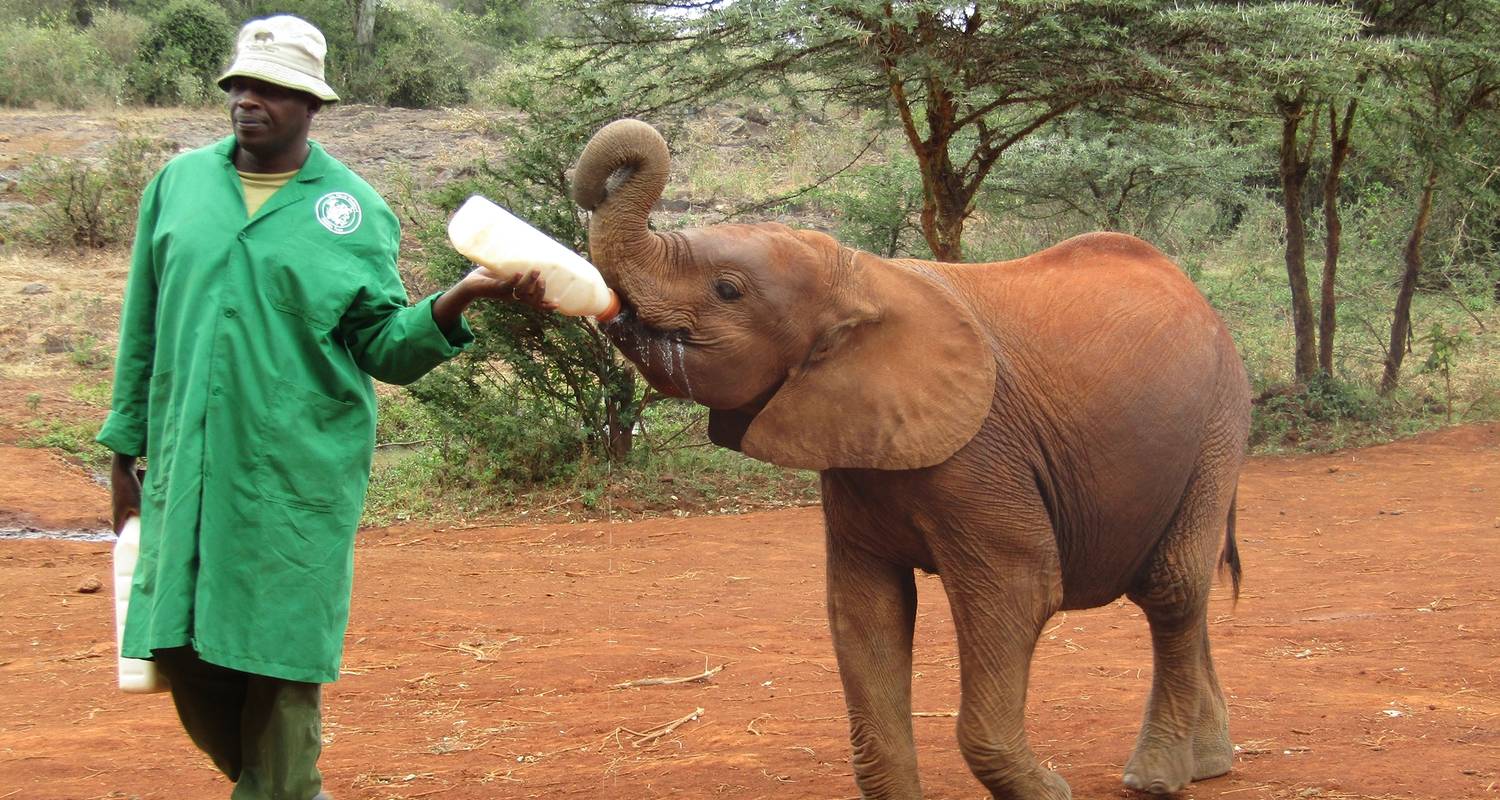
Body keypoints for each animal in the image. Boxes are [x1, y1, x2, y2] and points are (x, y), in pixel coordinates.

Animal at [567, 120, 1248, 798]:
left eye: (727, 290)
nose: (601, 178)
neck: (860, 278)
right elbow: (865, 610)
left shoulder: (983, 456)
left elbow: (1020, 590)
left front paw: (1050, 793)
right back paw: (1210, 762)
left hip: (1218, 424)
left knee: (1172, 586)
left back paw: (1155, 777)